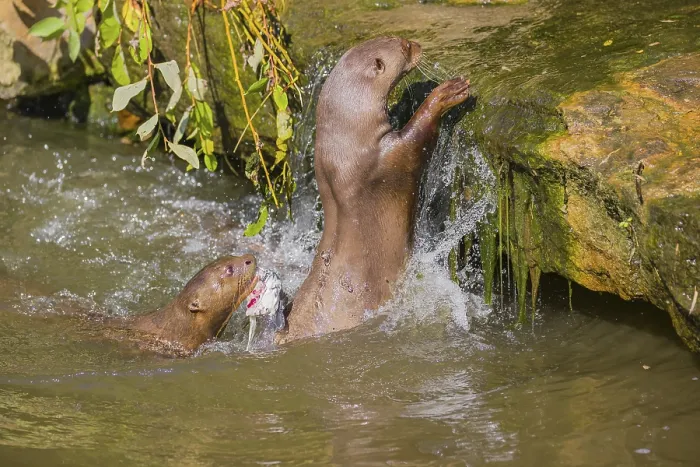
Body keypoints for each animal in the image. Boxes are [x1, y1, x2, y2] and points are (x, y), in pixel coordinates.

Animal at [277, 37, 470, 343]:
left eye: (402, 39)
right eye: (405, 47)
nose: (417, 44)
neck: (344, 149)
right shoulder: (388, 160)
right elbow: (418, 137)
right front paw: (444, 94)